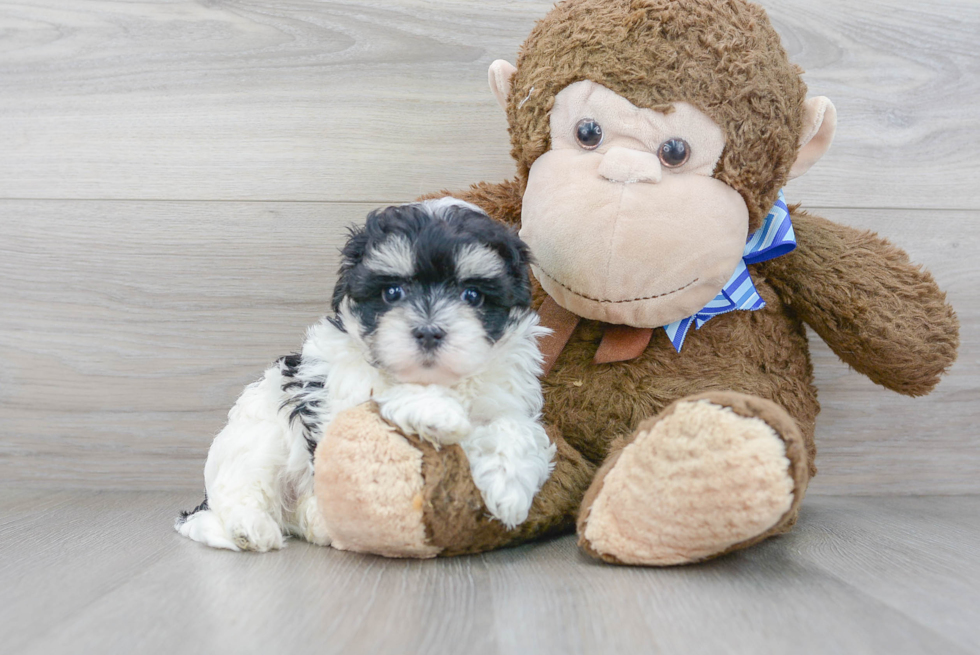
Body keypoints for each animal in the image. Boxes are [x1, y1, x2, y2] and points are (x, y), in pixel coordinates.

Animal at [176, 197, 556, 552]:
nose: (428, 332)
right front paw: (438, 412)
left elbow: (519, 427)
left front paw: (509, 489)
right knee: (242, 488)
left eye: (473, 295)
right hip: (255, 437)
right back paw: (251, 528)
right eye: (392, 292)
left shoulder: (506, 394)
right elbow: (377, 395)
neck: (439, 380)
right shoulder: (334, 392)